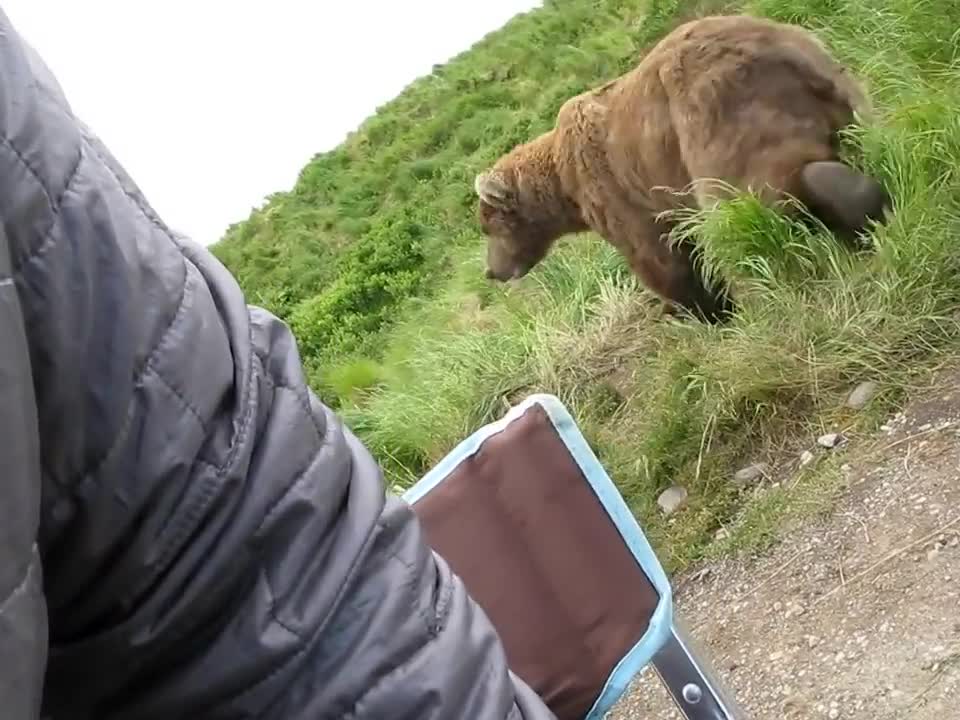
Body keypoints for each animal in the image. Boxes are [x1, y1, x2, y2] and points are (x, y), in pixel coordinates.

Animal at [476, 13, 888, 324]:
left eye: (490, 227)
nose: (492, 271)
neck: (563, 185)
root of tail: (782, 46)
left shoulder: (614, 190)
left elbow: (662, 258)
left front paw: (707, 310)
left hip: (712, 109)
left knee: (750, 200)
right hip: (838, 89)